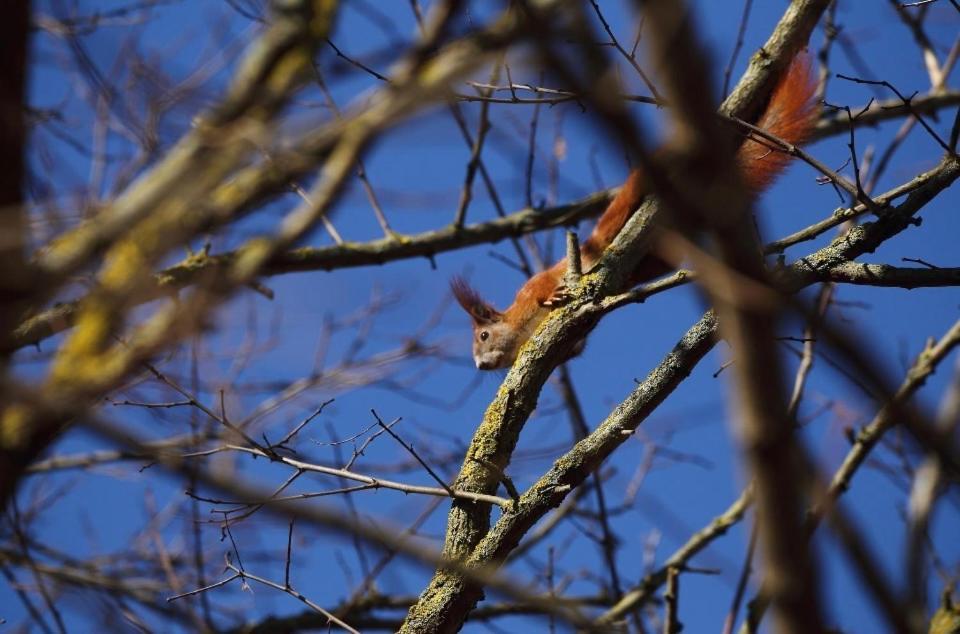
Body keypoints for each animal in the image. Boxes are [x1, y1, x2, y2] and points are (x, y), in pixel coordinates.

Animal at [450, 55, 816, 370]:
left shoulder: (530, 290)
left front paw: (551, 296)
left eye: (484, 335)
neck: (518, 328)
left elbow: (540, 287)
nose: (482, 366)